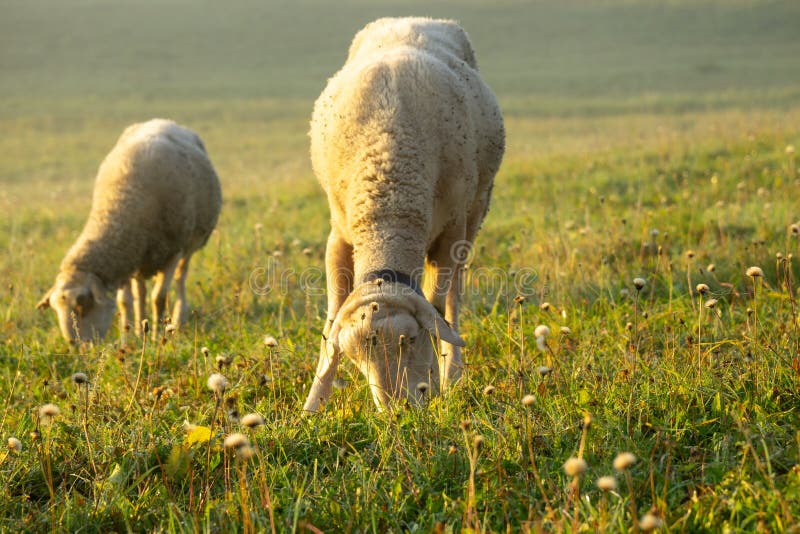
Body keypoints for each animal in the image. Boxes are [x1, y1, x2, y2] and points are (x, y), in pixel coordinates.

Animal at [36, 119, 222, 344]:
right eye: (56, 309)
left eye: (82, 305)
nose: (74, 345)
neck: (123, 203)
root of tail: (164, 121)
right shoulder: (127, 256)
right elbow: (125, 301)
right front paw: (128, 338)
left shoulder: (172, 252)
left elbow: (159, 297)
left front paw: (157, 337)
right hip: (141, 256)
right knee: (140, 291)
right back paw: (142, 329)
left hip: (188, 245)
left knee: (180, 279)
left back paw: (178, 319)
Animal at [304, 14, 504, 412]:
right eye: (355, 359)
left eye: (410, 339)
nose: (397, 412)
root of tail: (415, 19)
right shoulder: (339, 233)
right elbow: (331, 318)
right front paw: (313, 404)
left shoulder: (451, 230)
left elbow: (438, 305)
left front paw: (440, 380)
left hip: (475, 210)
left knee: (454, 297)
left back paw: (453, 372)